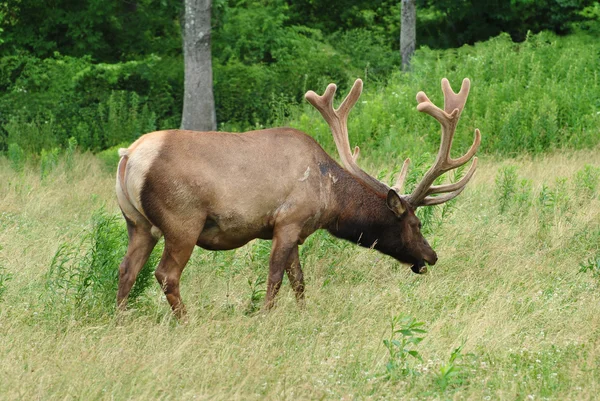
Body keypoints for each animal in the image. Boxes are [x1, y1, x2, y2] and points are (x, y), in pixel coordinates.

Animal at [116, 77, 482, 316]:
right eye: (417, 224)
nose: (432, 256)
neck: (331, 198)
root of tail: (128, 157)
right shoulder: (288, 220)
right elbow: (276, 277)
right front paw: (265, 317)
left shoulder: (296, 230)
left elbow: (299, 280)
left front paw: (304, 315)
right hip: (182, 220)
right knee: (166, 275)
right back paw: (186, 320)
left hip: (136, 223)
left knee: (126, 270)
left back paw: (120, 320)